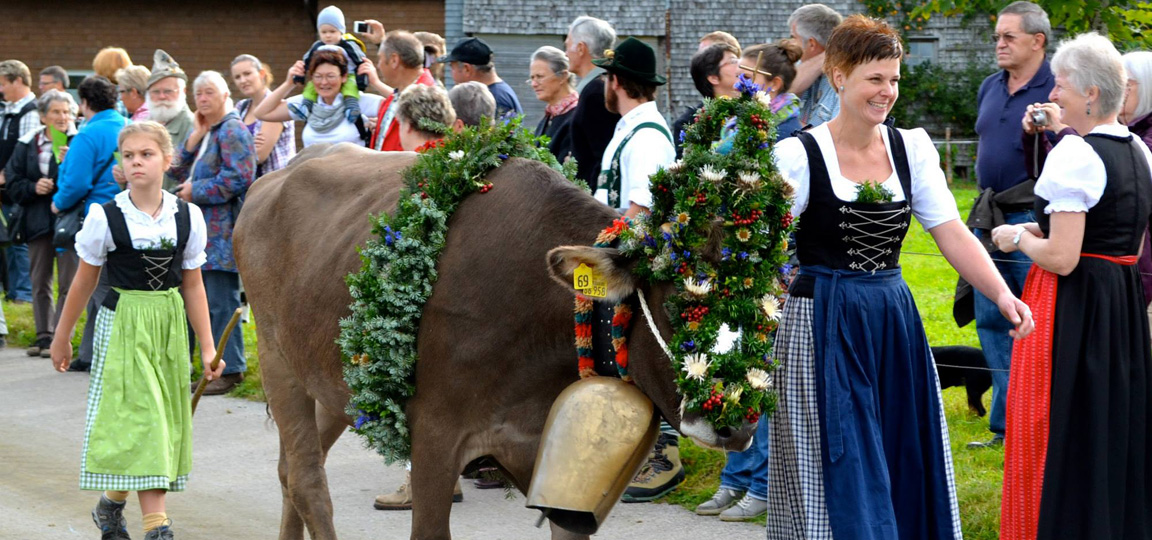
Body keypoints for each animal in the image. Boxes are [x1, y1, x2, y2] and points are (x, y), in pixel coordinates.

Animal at [232, 143, 755, 538]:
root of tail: (273, 176)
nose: (737, 424)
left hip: (338, 386)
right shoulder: (434, 437)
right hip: (277, 360)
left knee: (290, 470)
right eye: (678, 302)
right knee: (306, 479)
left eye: (763, 310)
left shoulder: (550, 460)